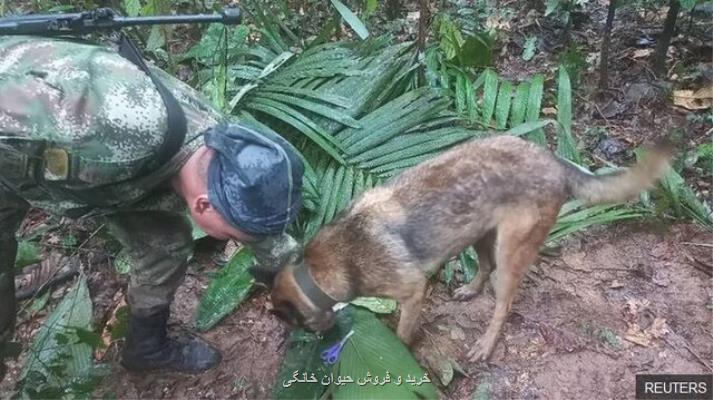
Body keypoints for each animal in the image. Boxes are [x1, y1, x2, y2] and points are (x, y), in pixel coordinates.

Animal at [268, 135, 672, 362]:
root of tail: (554, 160)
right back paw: (470, 289)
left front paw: (400, 352)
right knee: (485, 266)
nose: (318, 341)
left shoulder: (412, 293)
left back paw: (486, 345)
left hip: (511, 252)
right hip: (478, 232)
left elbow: (401, 334)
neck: (317, 271)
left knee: (503, 302)